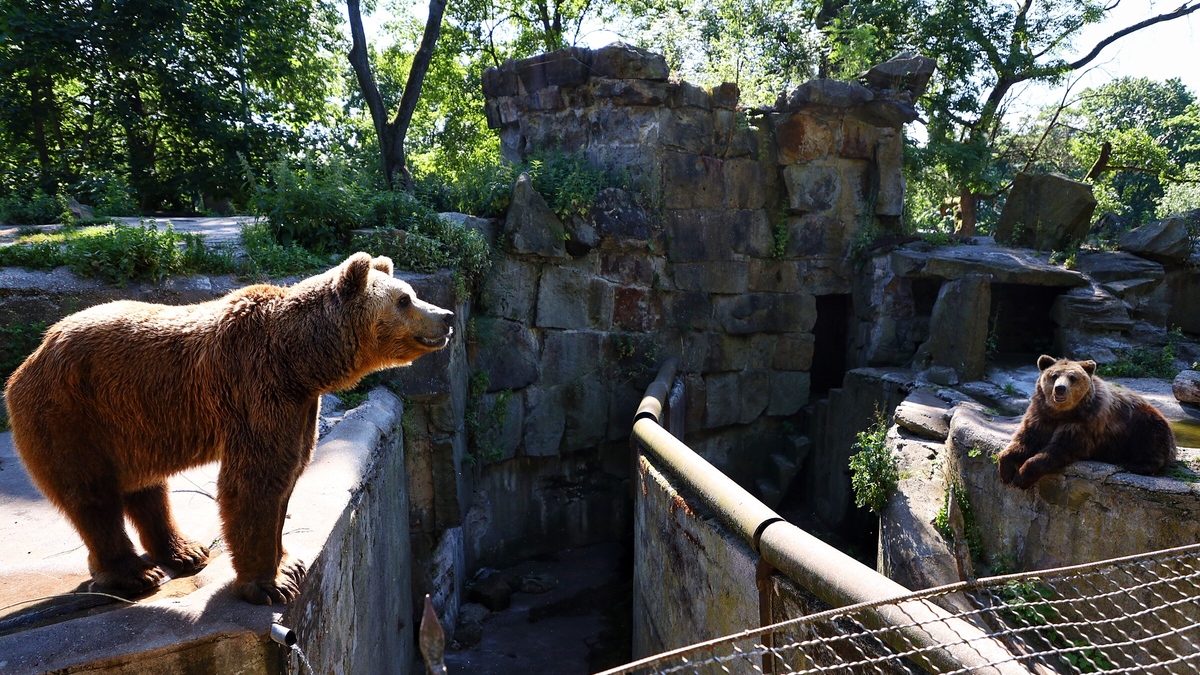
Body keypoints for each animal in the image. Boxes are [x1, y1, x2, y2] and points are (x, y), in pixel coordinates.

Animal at [3, 253, 453, 605]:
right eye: (404, 298)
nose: (446, 317)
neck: (301, 360)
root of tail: (31, 357)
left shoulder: (300, 406)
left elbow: (287, 475)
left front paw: (288, 563)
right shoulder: (258, 388)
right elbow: (255, 481)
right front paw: (268, 586)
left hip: (132, 424)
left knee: (146, 486)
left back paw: (185, 551)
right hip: (72, 414)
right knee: (92, 496)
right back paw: (135, 574)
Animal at [998, 353, 1176, 487]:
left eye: (1072, 377)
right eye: (1054, 375)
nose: (1060, 388)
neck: (1062, 412)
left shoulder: (1085, 422)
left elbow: (1060, 448)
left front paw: (1021, 477)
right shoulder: (1041, 415)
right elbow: (1026, 440)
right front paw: (1006, 472)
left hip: (1143, 421)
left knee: (1151, 437)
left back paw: (1135, 464)